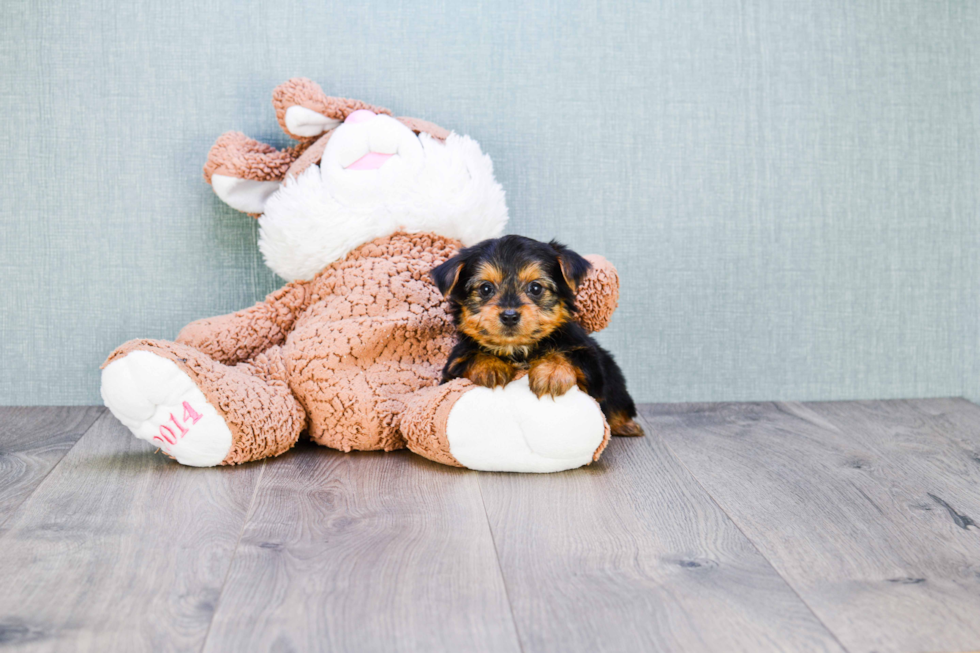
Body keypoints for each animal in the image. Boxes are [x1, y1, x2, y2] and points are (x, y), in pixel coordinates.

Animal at [432, 234, 648, 438]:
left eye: (535, 288)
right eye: (486, 288)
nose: (509, 315)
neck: (518, 349)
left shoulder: (591, 364)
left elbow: (568, 354)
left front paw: (551, 372)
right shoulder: (451, 369)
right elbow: (470, 356)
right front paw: (490, 365)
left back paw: (626, 426)